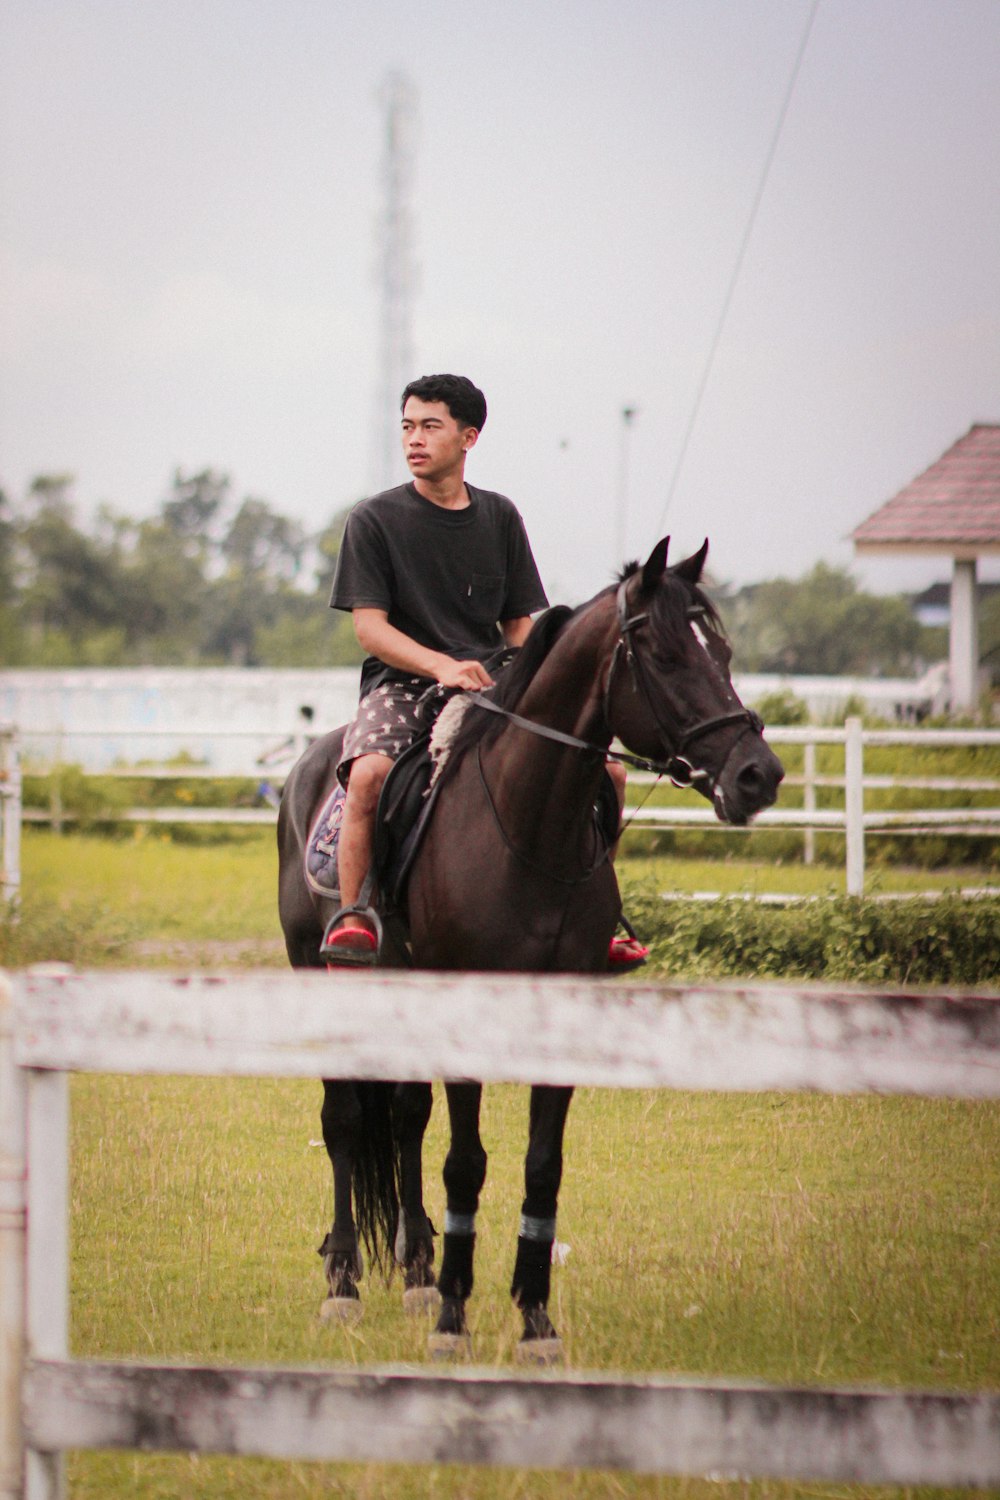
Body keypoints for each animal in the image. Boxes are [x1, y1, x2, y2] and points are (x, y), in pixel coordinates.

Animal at [275, 543, 779, 1362]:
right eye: (666, 653)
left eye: (725, 651)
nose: (758, 774)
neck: (528, 824)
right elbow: (465, 1164)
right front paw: (454, 1321)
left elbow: (542, 1167)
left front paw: (535, 1322)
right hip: (321, 976)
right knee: (345, 1119)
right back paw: (344, 1283)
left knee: (406, 1116)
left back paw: (416, 1272)